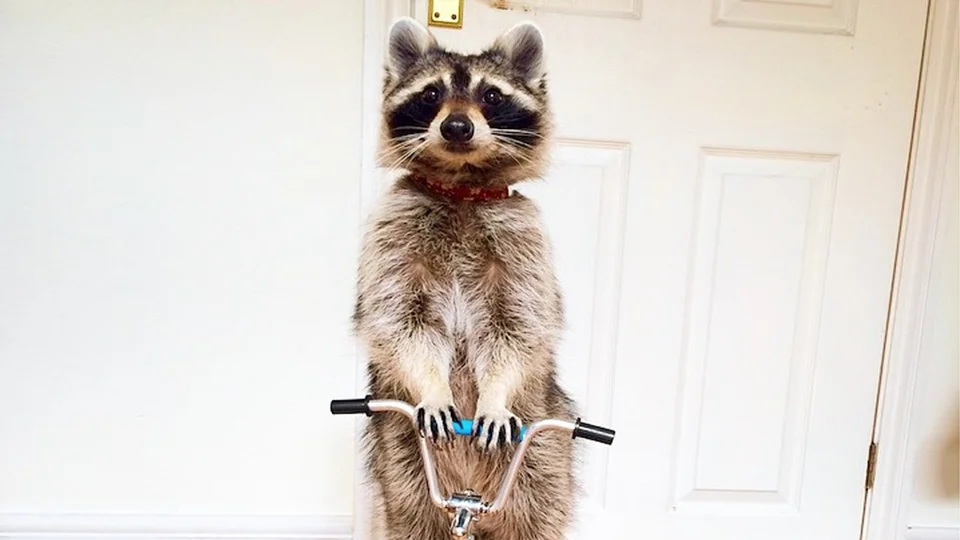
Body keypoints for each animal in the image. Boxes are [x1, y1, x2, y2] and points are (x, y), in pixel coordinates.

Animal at [353, 17, 579, 540]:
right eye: (431, 94)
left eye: (491, 95)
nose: (457, 126)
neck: (461, 185)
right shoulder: (392, 235)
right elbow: (401, 321)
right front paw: (433, 386)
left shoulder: (523, 245)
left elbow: (515, 327)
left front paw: (495, 395)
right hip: (399, 452)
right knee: (410, 513)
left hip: (542, 455)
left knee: (537, 515)